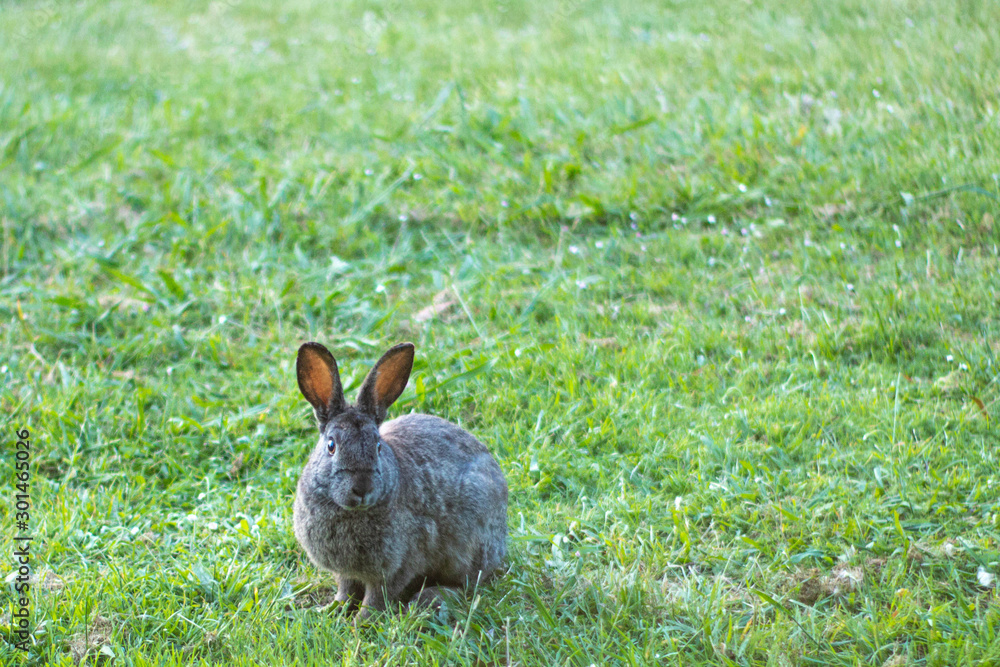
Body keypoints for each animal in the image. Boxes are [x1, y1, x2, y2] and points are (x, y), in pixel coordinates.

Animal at [292, 341, 508, 618]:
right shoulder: (345, 572)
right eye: (331, 446)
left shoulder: (400, 563)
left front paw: (361, 621)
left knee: (466, 583)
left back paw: (429, 597)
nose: (362, 488)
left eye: (378, 447)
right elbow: (346, 589)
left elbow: (377, 596)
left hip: (469, 545)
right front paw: (334, 609)